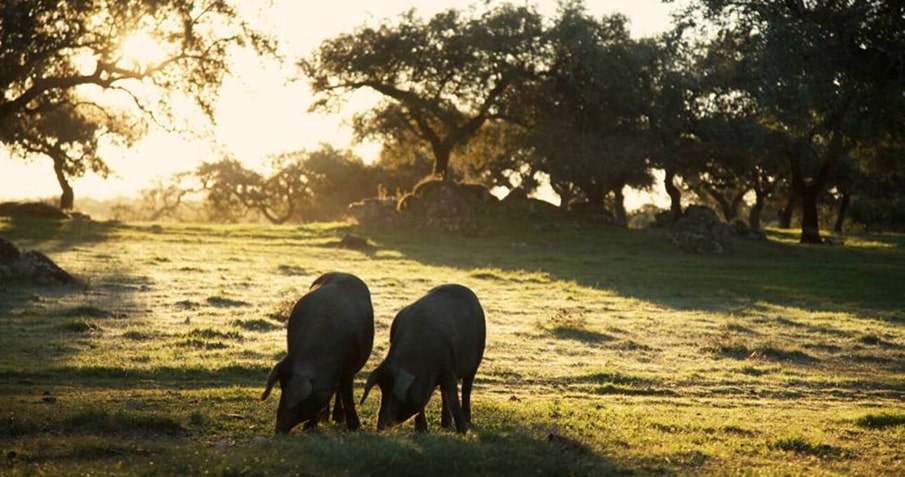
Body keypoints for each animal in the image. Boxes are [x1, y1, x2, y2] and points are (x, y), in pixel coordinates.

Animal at [261, 272, 374, 433]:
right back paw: (325, 418)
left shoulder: (349, 369)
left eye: (291, 394)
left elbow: (347, 395)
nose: (278, 429)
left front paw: (355, 427)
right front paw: (309, 426)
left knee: (339, 390)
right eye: (281, 388)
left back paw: (337, 419)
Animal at [361, 284, 486, 434]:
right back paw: (445, 424)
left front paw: (463, 431)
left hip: (477, 359)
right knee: (444, 393)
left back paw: (465, 421)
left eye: (394, 395)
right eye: (382, 392)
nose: (380, 427)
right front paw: (422, 430)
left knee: (467, 388)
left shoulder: (448, 368)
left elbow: (453, 399)